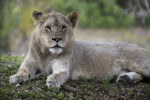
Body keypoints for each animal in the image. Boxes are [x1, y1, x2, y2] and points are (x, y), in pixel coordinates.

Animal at [9, 10, 150, 88]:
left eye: (63, 27)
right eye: (48, 27)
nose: (57, 39)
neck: (46, 54)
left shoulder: (63, 67)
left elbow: (59, 74)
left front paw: (52, 82)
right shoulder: (30, 64)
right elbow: (22, 70)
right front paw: (16, 77)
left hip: (141, 64)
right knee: (140, 76)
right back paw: (125, 79)